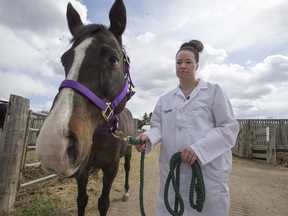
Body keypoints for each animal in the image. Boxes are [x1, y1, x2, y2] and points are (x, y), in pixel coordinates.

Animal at [35, 0, 137, 215]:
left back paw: (125, 192)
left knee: (128, 169)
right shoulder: (82, 170)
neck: (99, 136)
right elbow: (82, 200)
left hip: (129, 154)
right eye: (64, 60)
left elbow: (103, 203)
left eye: (113, 59)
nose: (52, 146)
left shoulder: (111, 168)